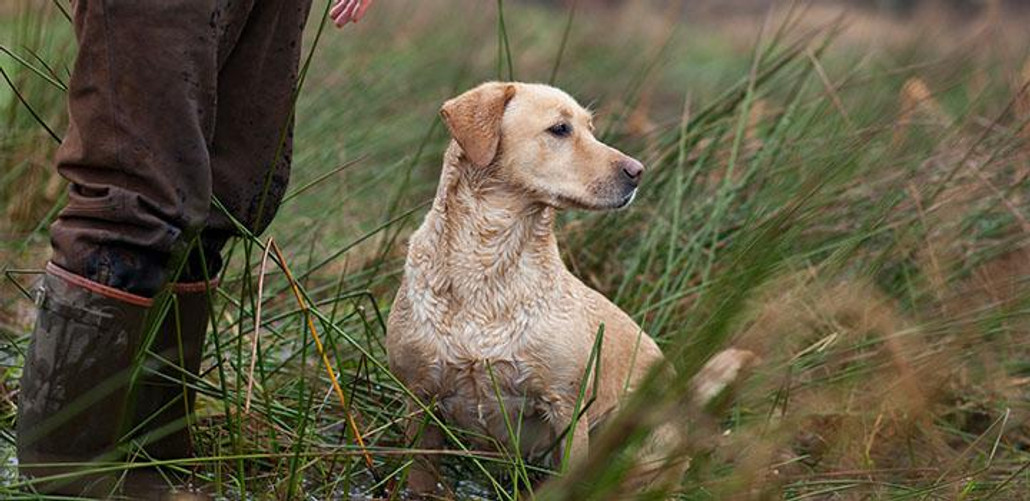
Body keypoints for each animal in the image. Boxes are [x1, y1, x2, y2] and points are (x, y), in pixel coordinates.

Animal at [387, 81, 749, 492]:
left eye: (591, 128)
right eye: (560, 129)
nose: (638, 171)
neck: (488, 262)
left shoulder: (567, 407)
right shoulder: (419, 399)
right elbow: (419, 476)